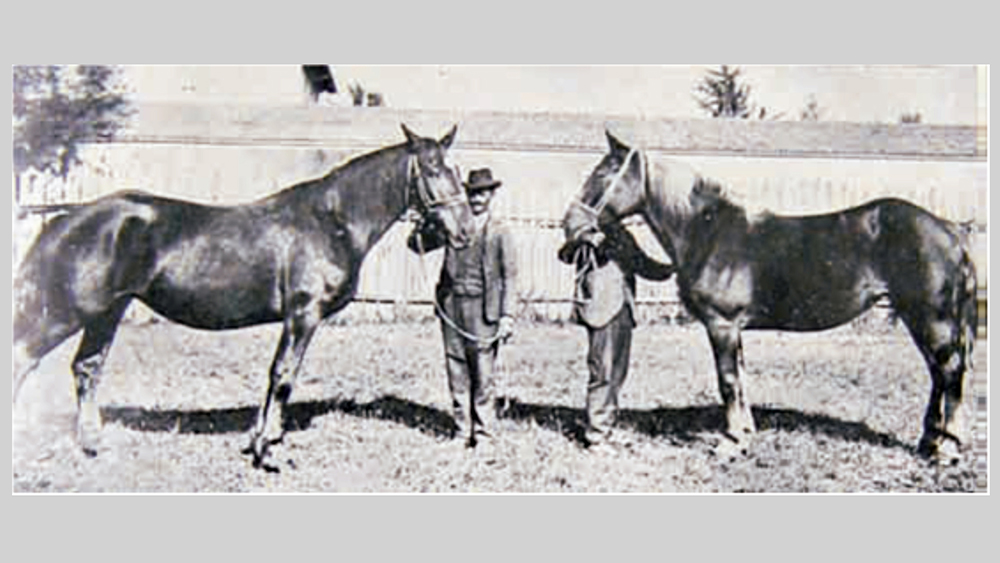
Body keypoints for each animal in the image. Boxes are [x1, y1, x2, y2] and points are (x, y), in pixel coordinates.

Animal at [13, 124, 475, 468]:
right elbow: (284, 375)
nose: (466, 230)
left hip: (106, 312)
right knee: (23, 358)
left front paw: (262, 439)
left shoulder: (296, 319)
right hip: (63, 314)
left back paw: (93, 444)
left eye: (457, 168)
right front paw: (267, 451)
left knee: (87, 368)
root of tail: (66, 218)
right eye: (432, 168)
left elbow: (277, 375)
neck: (331, 220)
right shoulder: (303, 314)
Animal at [562, 131, 978, 462]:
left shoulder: (722, 325)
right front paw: (745, 433)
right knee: (938, 373)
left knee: (951, 371)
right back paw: (928, 442)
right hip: (917, 317)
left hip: (933, 319)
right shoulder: (734, 329)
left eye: (603, 174)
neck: (706, 231)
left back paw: (947, 448)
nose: (571, 223)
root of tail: (952, 230)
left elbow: (728, 381)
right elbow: (741, 379)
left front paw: (731, 442)